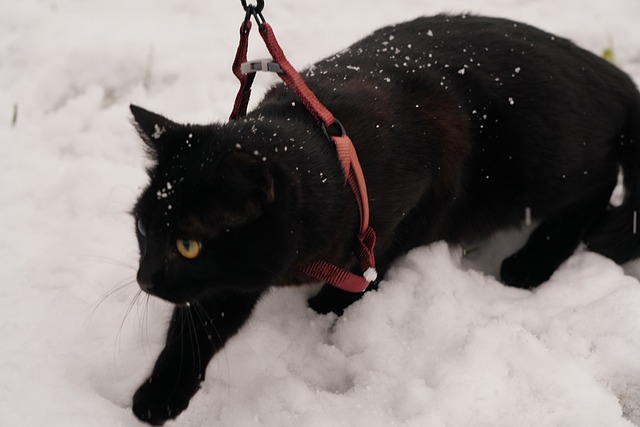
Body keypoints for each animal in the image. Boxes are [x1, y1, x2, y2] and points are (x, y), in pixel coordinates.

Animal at [127, 13, 636, 424]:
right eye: (142, 229)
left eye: (188, 244)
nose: (144, 278)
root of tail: (613, 74)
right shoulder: (238, 272)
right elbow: (196, 328)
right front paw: (160, 393)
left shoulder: (423, 190)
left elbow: (380, 255)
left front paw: (332, 306)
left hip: (541, 164)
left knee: (599, 186)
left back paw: (531, 263)